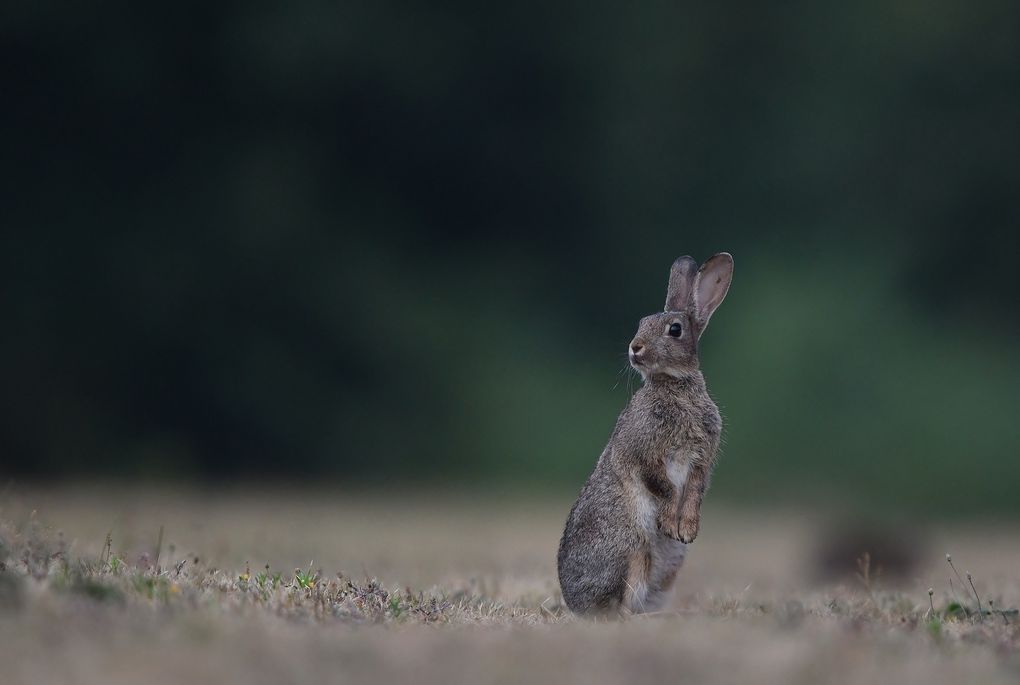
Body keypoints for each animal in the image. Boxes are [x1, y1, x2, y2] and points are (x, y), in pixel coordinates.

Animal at [558, 251, 734, 615]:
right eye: (641, 323)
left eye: (675, 329)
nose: (634, 348)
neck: (674, 385)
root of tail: (576, 603)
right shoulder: (645, 453)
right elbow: (665, 487)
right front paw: (669, 524)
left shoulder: (701, 461)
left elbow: (693, 492)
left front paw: (687, 530)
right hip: (633, 549)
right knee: (620, 606)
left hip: (666, 569)